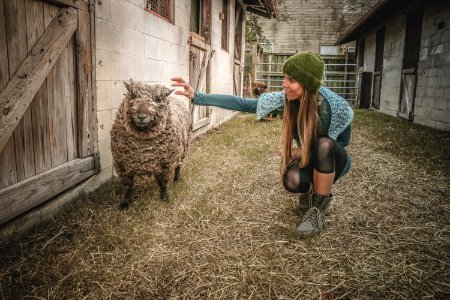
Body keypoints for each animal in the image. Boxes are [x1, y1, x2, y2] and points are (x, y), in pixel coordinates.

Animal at [111, 81, 192, 210]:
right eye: (133, 96)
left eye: (158, 100)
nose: (142, 116)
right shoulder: (121, 164)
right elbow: (127, 185)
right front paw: (124, 204)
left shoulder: (166, 163)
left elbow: (163, 182)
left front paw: (165, 197)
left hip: (184, 148)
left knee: (179, 165)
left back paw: (177, 179)